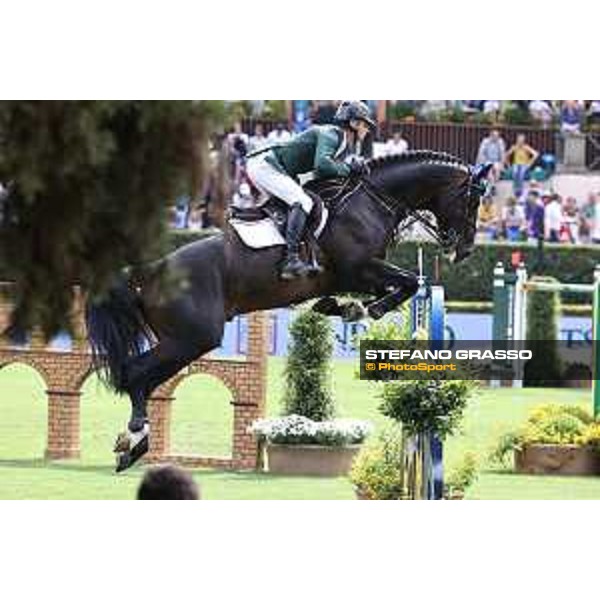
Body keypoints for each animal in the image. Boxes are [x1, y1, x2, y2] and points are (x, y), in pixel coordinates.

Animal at [88, 149, 492, 468]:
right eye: (472, 200)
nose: (465, 251)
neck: (373, 200)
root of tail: (149, 273)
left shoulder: (357, 276)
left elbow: (402, 286)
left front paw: (342, 308)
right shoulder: (357, 269)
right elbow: (409, 283)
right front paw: (363, 311)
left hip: (180, 340)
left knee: (144, 379)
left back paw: (132, 443)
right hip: (193, 338)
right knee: (135, 374)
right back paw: (134, 440)